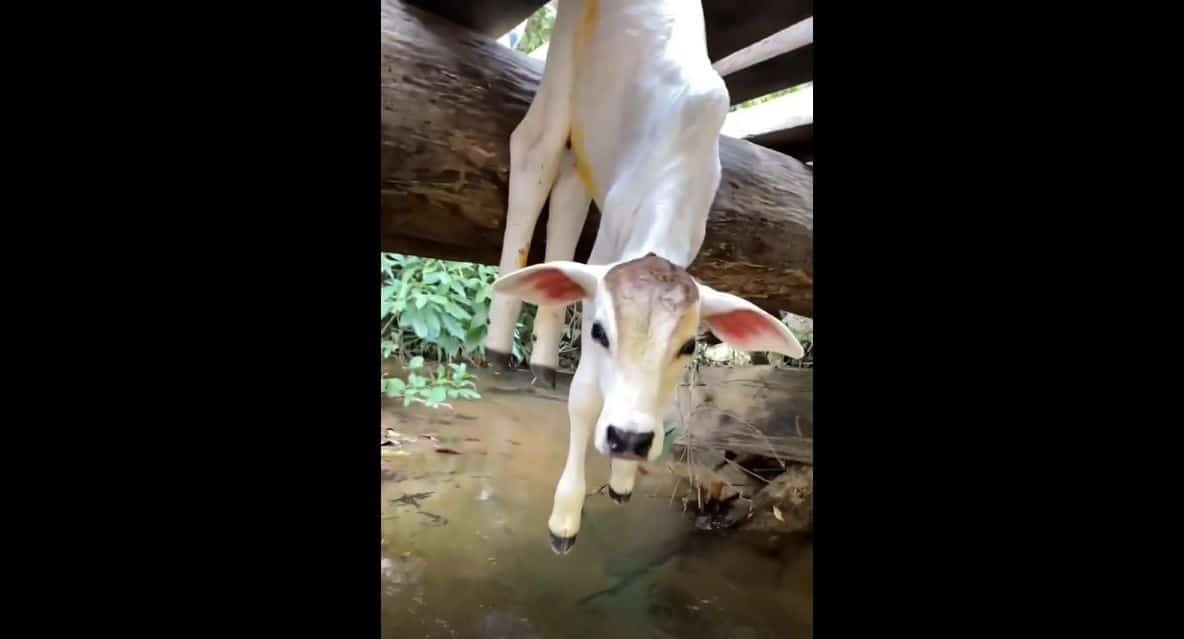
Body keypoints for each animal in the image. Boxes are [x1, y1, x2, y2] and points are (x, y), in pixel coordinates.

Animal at [483, 0, 805, 553]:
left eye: (689, 346)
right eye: (598, 332)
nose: (629, 438)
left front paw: (622, 479)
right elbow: (585, 398)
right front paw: (564, 516)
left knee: (568, 187)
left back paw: (542, 359)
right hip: (566, 53)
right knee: (536, 151)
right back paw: (499, 346)